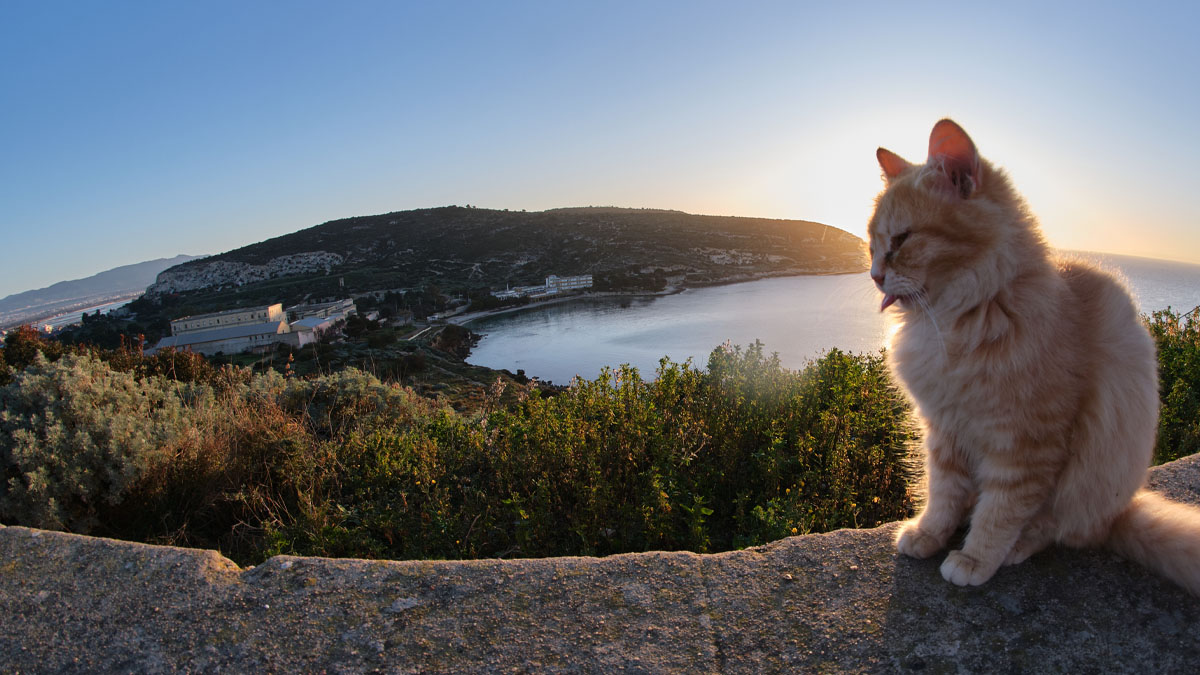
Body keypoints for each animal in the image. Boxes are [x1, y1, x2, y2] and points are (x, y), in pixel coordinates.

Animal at [873, 118, 1200, 590]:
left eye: (901, 240)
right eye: (872, 243)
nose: (875, 275)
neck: (959, 319)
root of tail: (1119, 513)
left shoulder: (1027, 441)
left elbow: (1000, 511)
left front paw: (974, 558)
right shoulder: (944, 429)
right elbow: (943, 494)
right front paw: (930, 534)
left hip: (1091, 475)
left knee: (1057, 526)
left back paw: (1018, 547)